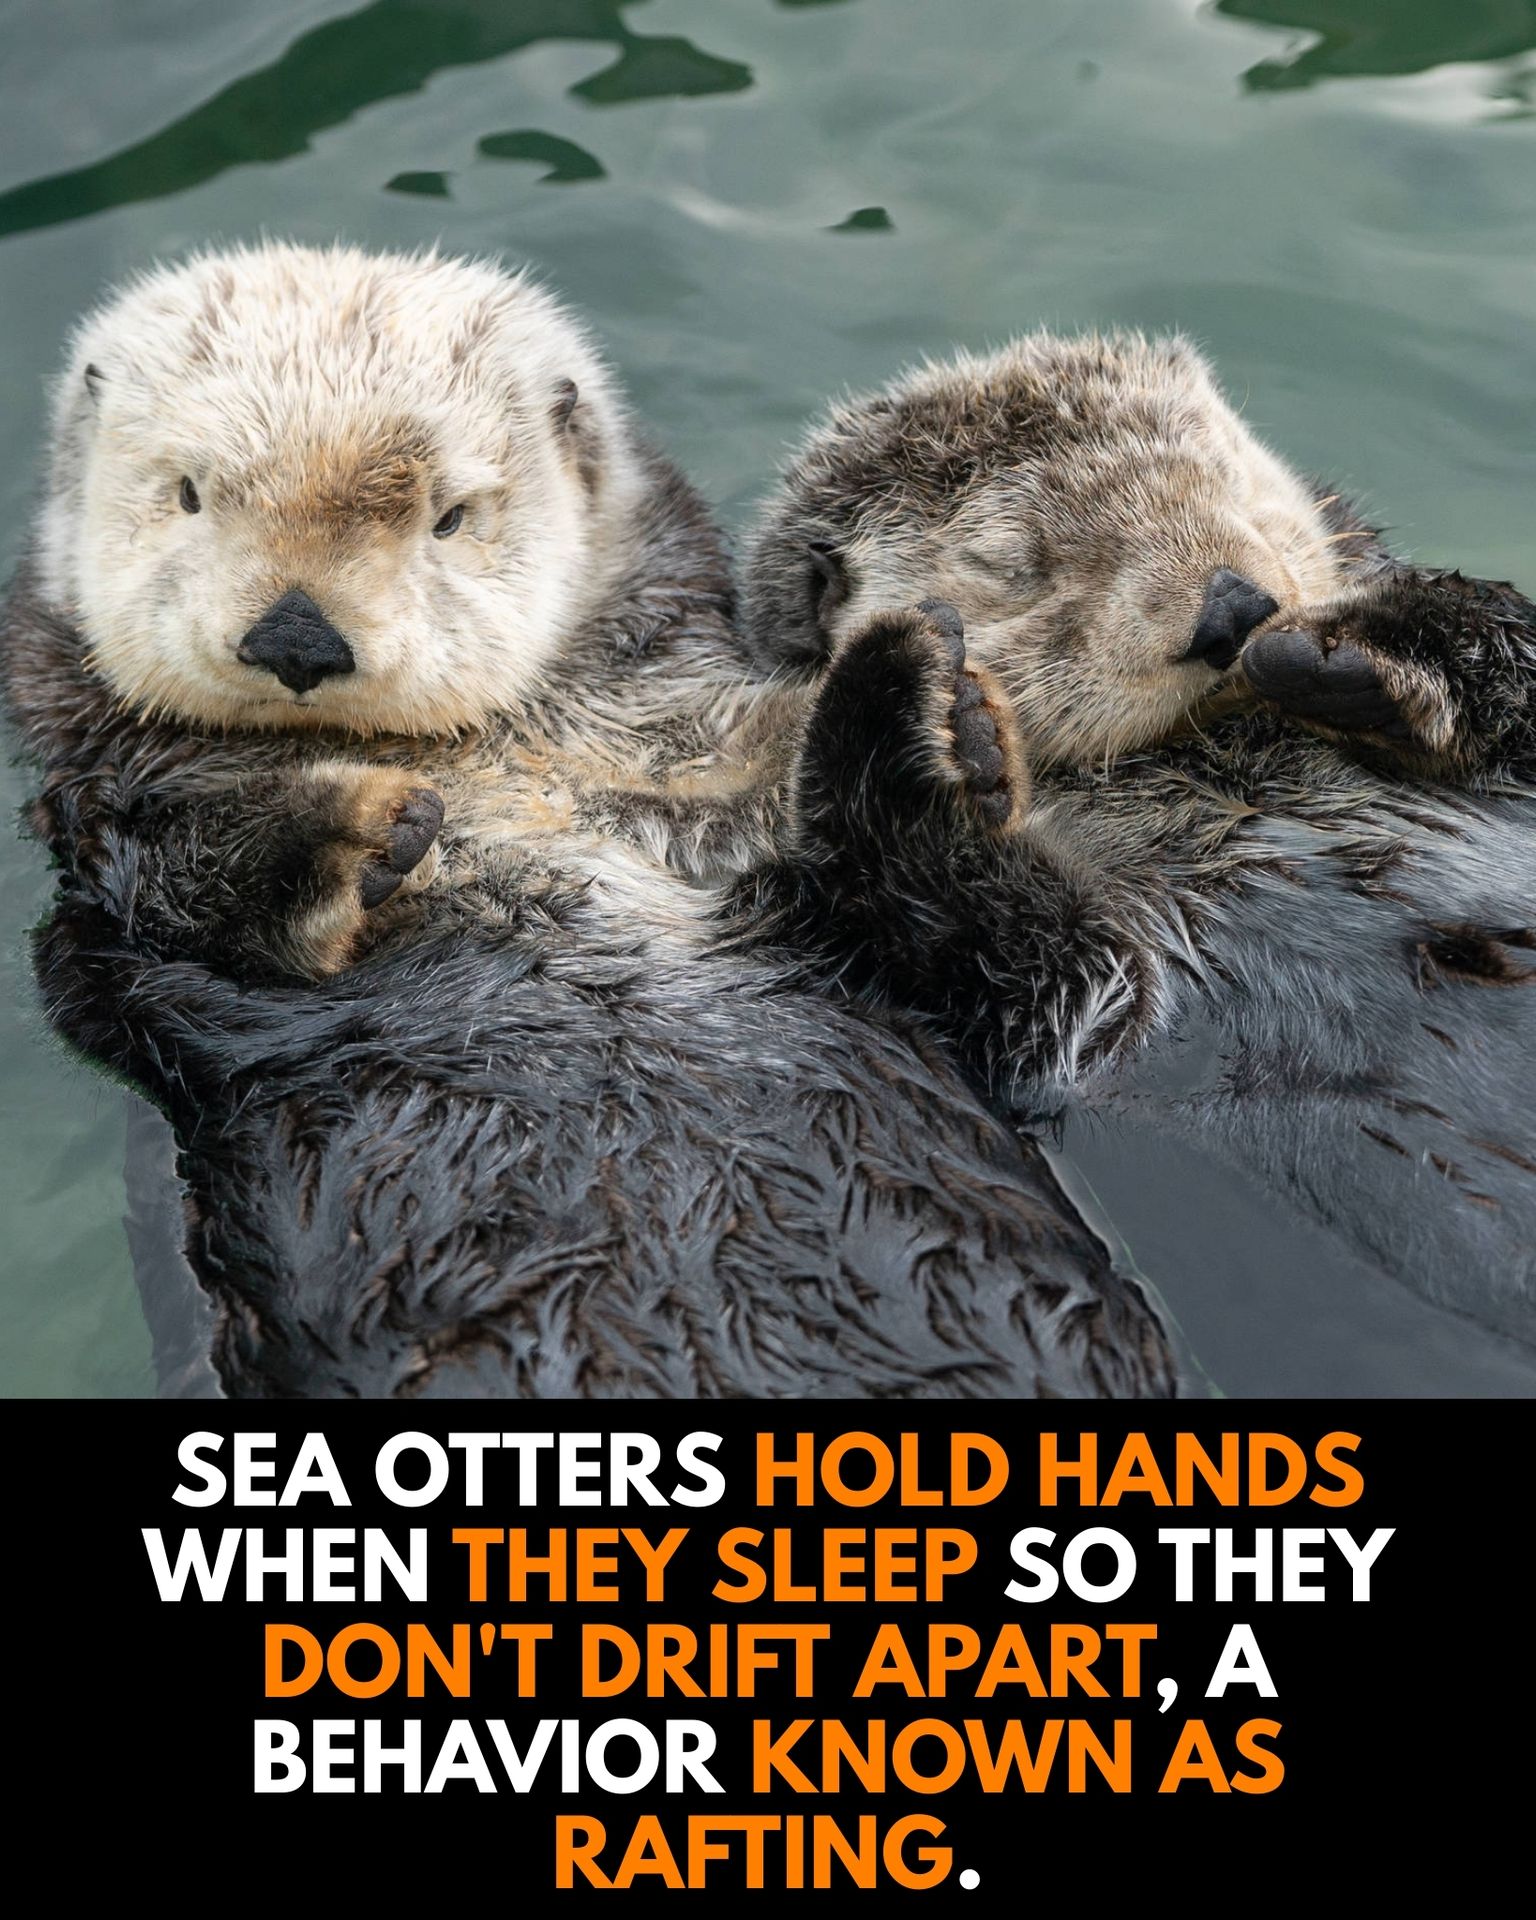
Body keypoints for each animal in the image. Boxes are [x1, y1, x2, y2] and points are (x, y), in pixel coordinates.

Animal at [3, 244, 1179, 1400]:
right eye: (189, 495)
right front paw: (357, 826)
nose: (297, 637)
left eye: (451, 516)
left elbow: (1074, 992)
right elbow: (161, 895)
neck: (510, 766)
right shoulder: (108, 869)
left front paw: (947, 741)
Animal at [736, 332, 1536, 1346]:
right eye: (1017, 566)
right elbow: (1052, 992)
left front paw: (1349, 649)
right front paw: (917, 710)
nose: (1231, 608)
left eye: (1222, 474)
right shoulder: (1085, 1011)